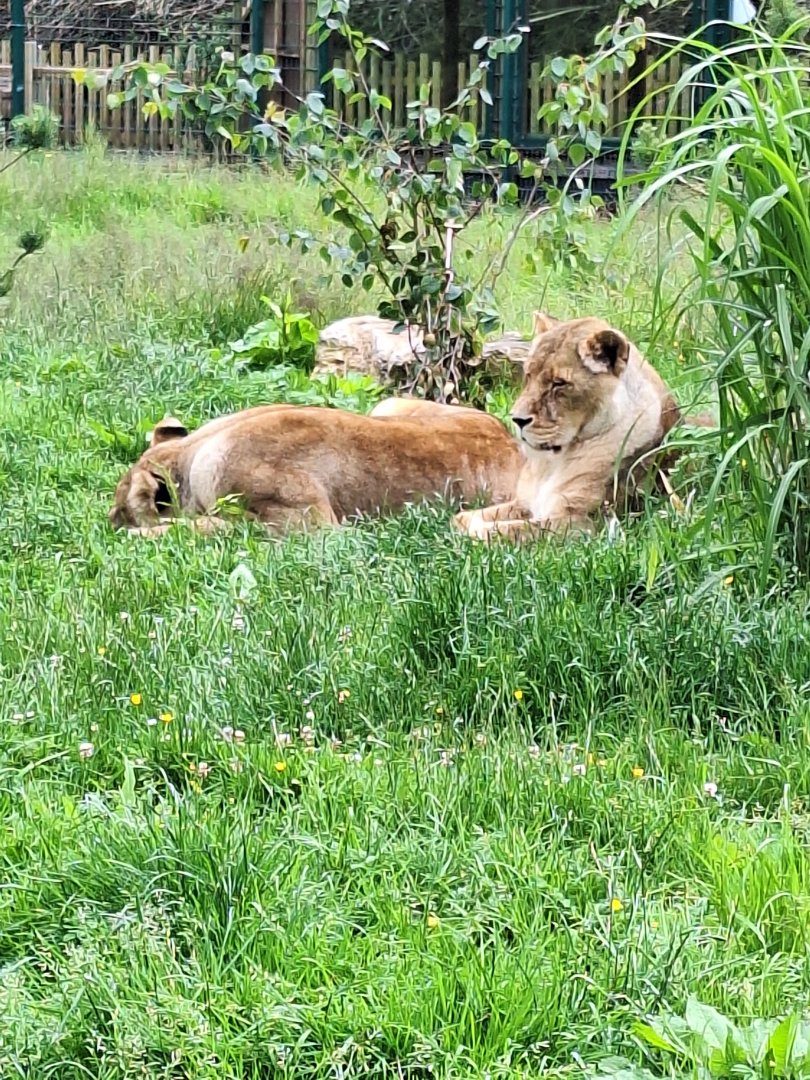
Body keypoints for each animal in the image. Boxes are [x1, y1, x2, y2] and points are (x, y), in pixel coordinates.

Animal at [109, 400, 522, 537]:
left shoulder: (315, 526)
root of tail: (510, 440)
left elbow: (210, 526)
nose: (108, 521)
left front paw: (142, 533)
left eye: (119, 509)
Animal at [452, 312, 687, 542]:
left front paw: (478, 531)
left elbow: (507, 531)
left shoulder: (584, 525)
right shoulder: (524, 504)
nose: (517, 419)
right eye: (528, 375)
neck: (550, 465)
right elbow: (461, 517)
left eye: (559, 383)